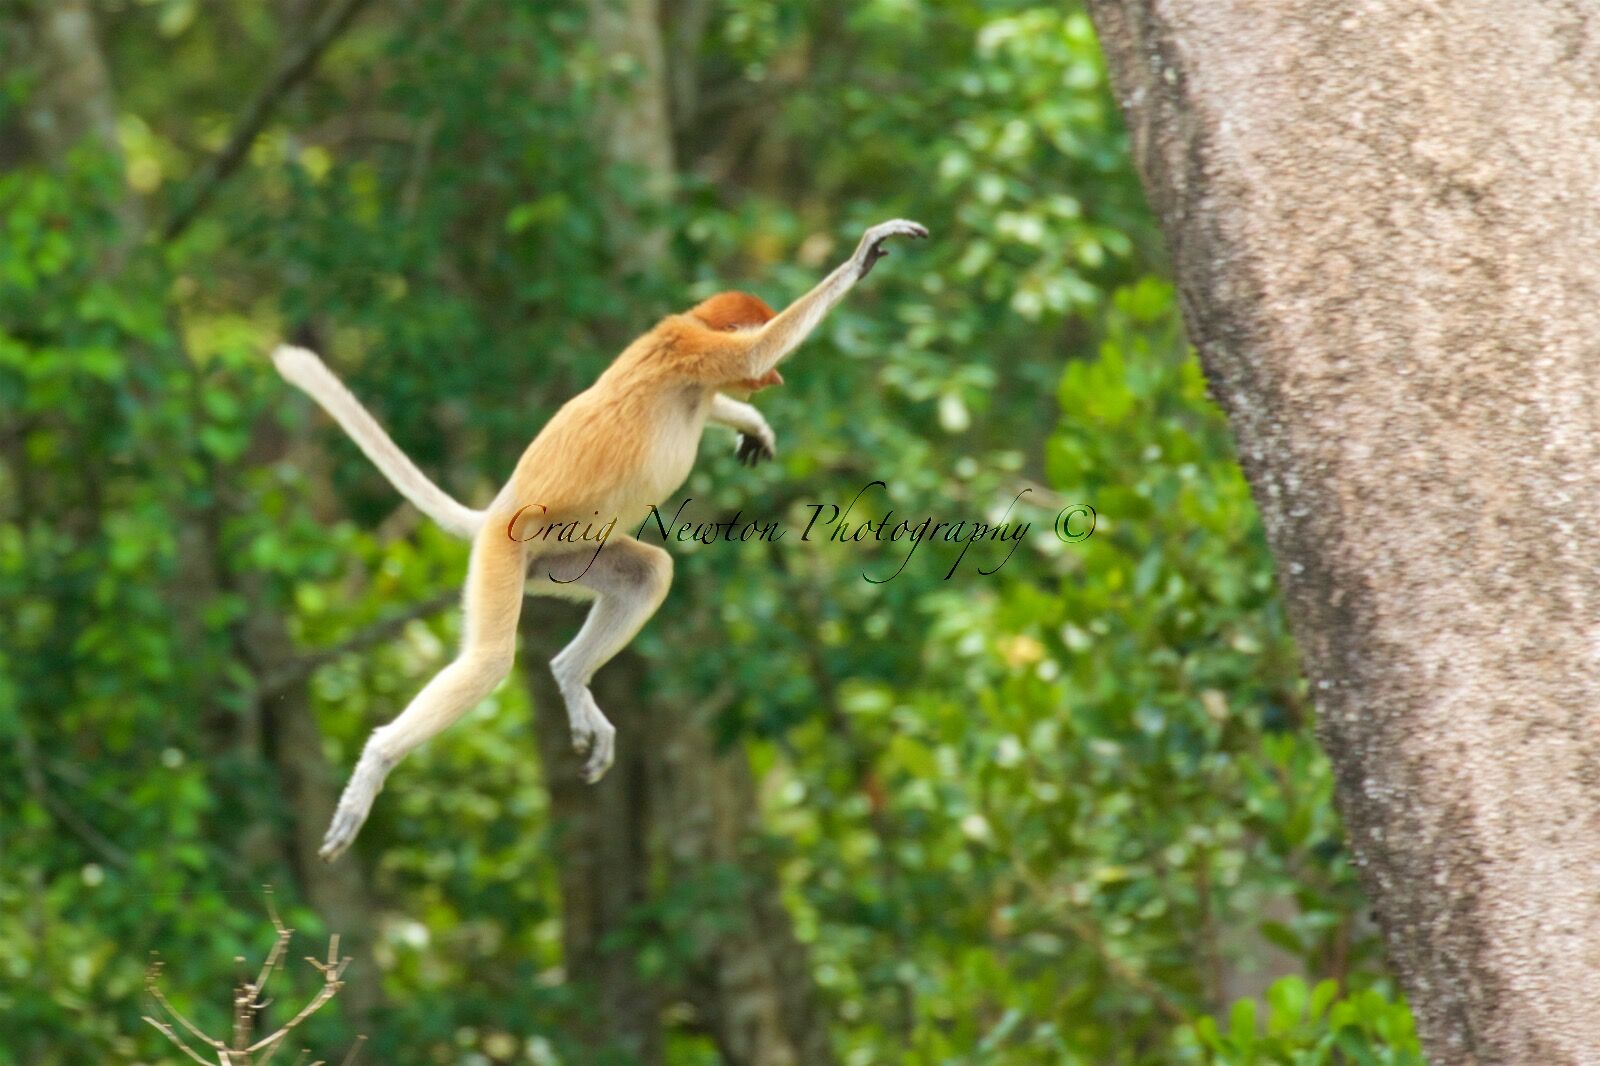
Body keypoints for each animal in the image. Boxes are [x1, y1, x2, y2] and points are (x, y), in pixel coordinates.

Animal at [272, 218, 928, 861]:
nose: (776, 381)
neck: (691, 325)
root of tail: (494, 512)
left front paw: (753, 427)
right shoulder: (692, 349)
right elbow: (755, 345)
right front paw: (867, 252)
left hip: (559, 558)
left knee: (649, 574)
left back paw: (569, 675)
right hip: (505, 554)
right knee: (488, 662)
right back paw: (378, 761)